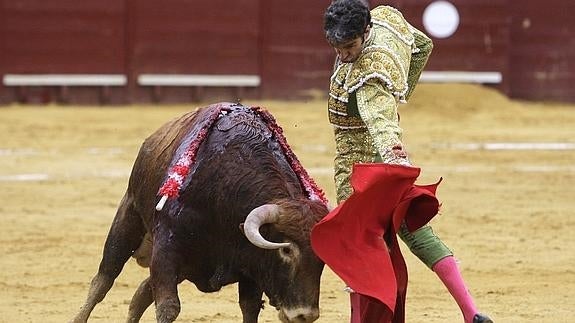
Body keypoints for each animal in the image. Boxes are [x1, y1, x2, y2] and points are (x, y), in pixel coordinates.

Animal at [71, 102, 330, 322]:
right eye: (286, 249)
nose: (305, 315)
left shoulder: (251, 264)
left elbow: (250, 307)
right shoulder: (166, 252)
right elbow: (168, 307)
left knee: (142, 292)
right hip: (128, 218)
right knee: (103, 280)